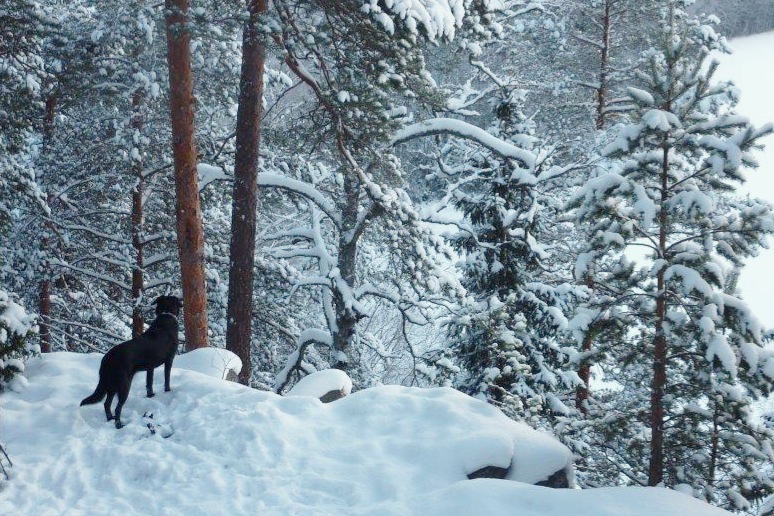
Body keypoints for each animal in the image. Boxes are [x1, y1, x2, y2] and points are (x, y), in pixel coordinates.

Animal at [81, 296, 183, 430]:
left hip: (111, 385)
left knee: (106, 404)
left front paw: (151, 396)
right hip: (124, 385)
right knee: (117, 407)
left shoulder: (150, 368)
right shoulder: (169, 360)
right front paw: (168, 391)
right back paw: (119, 425)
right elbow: (167, 379)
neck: (166, 314)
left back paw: (110, 419)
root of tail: (108, 358)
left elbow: (149, 384)